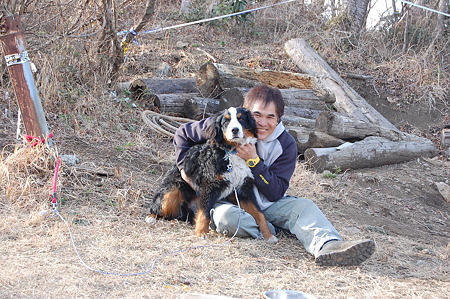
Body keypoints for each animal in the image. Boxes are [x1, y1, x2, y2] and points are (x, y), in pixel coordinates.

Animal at [149, 108, 278, 244]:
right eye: (226, 121)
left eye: (241, 119)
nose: (235, 130)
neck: (231, 152)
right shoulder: (209, 186)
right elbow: (204, 213)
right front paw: (201, 232)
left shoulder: (244, 189)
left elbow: (259, 214)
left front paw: (268, 235)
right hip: (170, 194)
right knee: (156, 207)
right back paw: (151, 217)